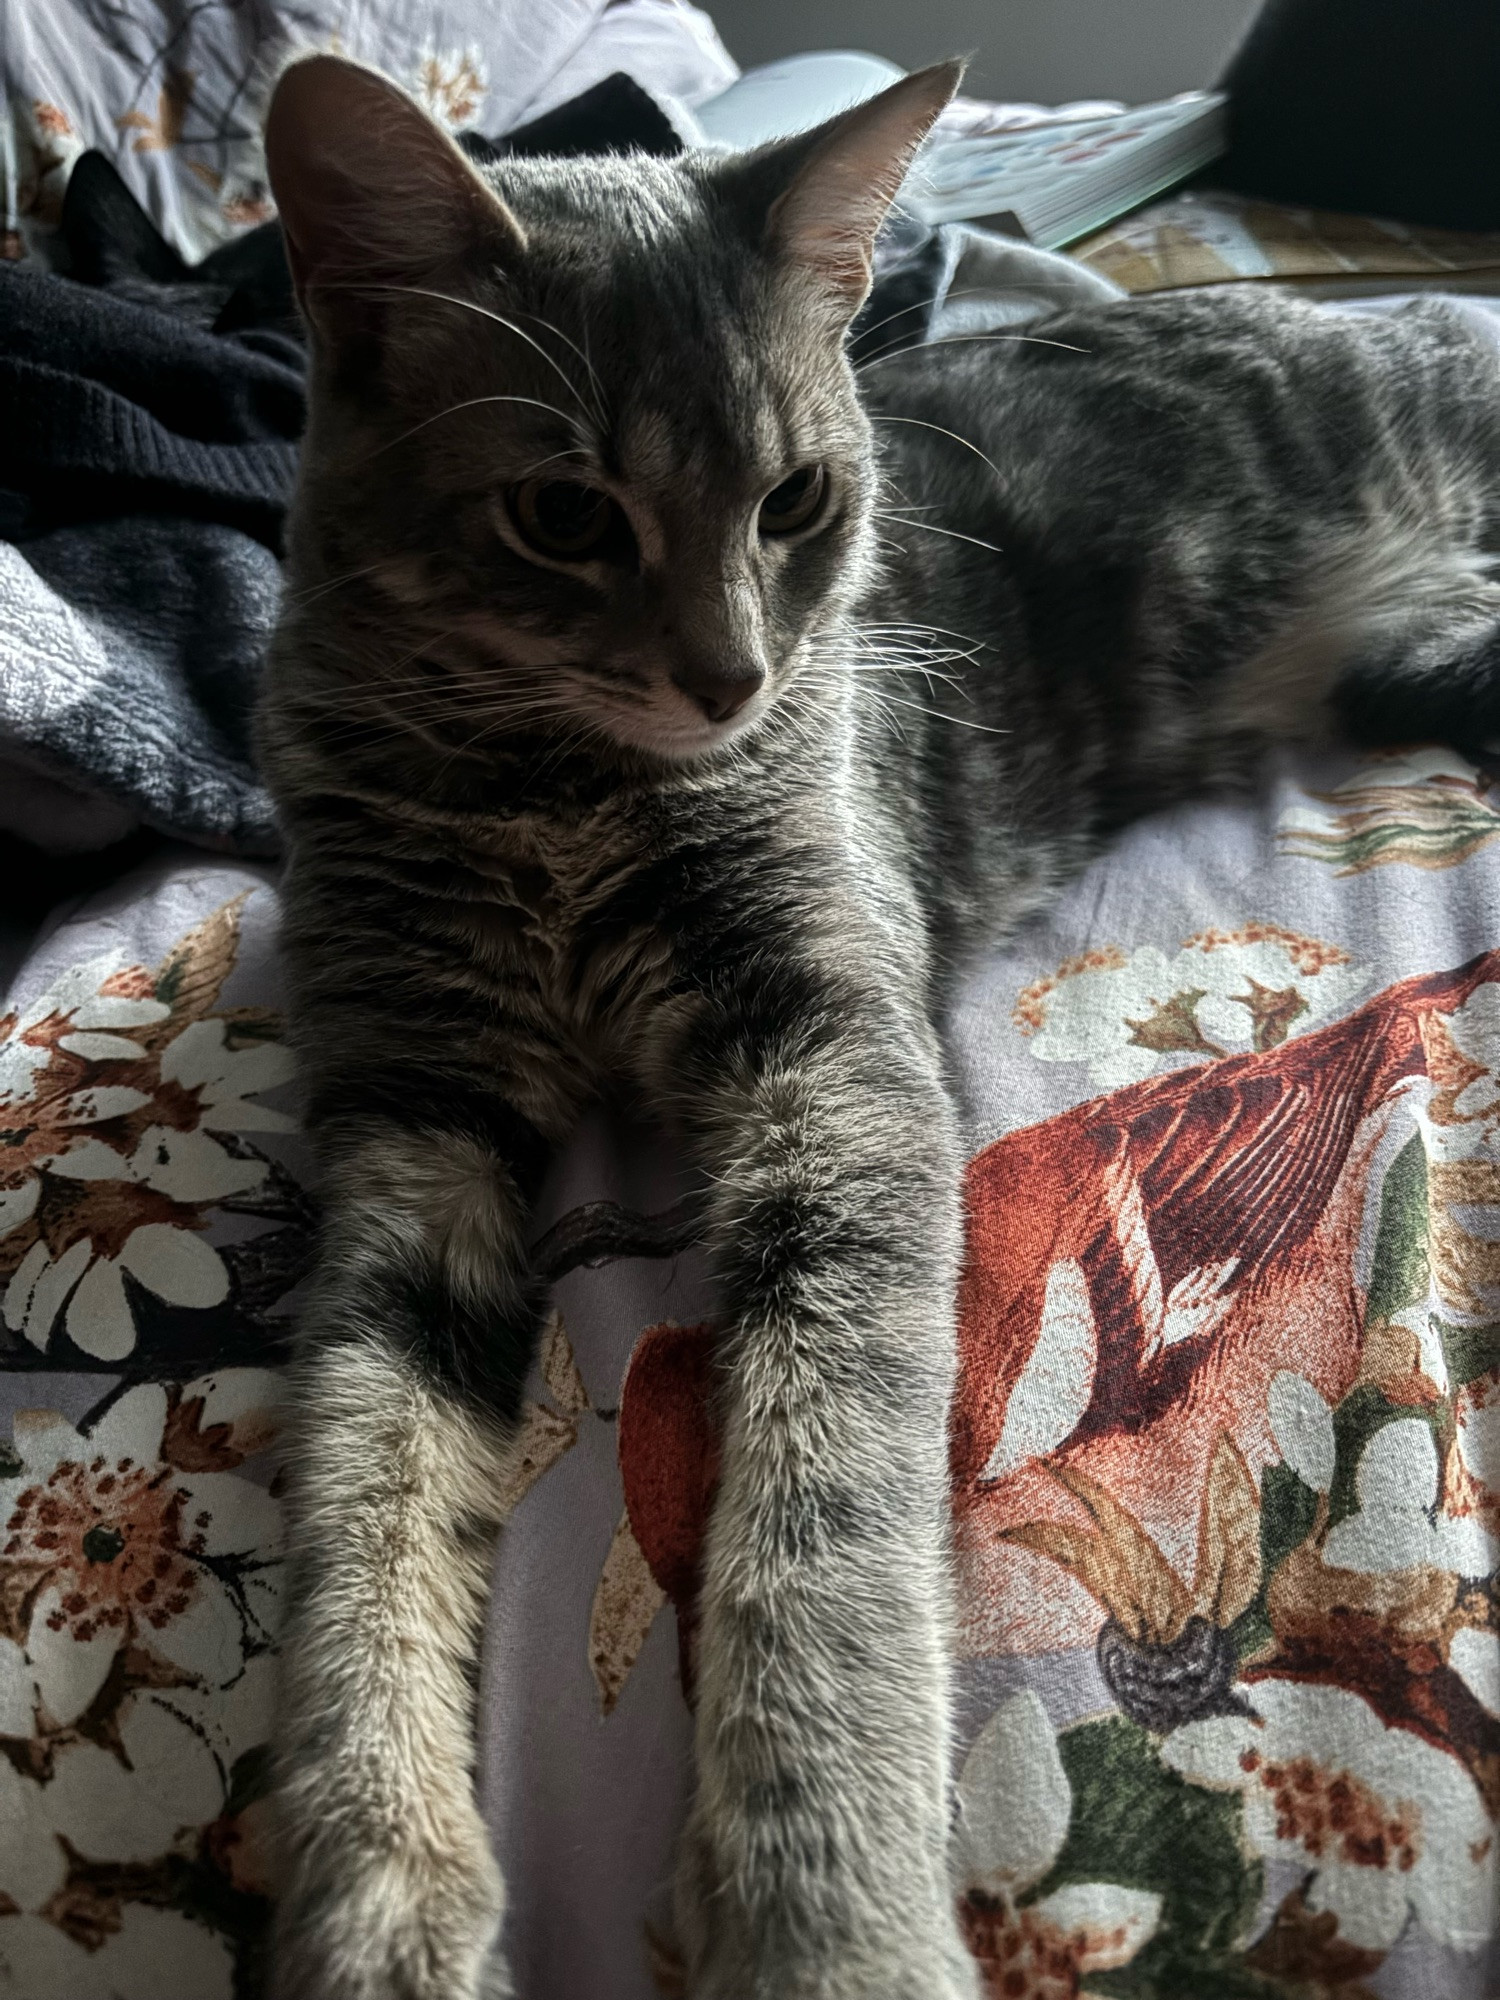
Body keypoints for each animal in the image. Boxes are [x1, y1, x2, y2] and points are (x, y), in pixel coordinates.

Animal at [264, 47, 1500, 2000]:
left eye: (796, 502)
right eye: (564, 515)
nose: (733, 678)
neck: (557, 797)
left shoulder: (832, 1063)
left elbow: (824, 1502)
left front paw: (824, 1911)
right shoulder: (409, 1115)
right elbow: (365, 1496)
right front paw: (382, 1894)